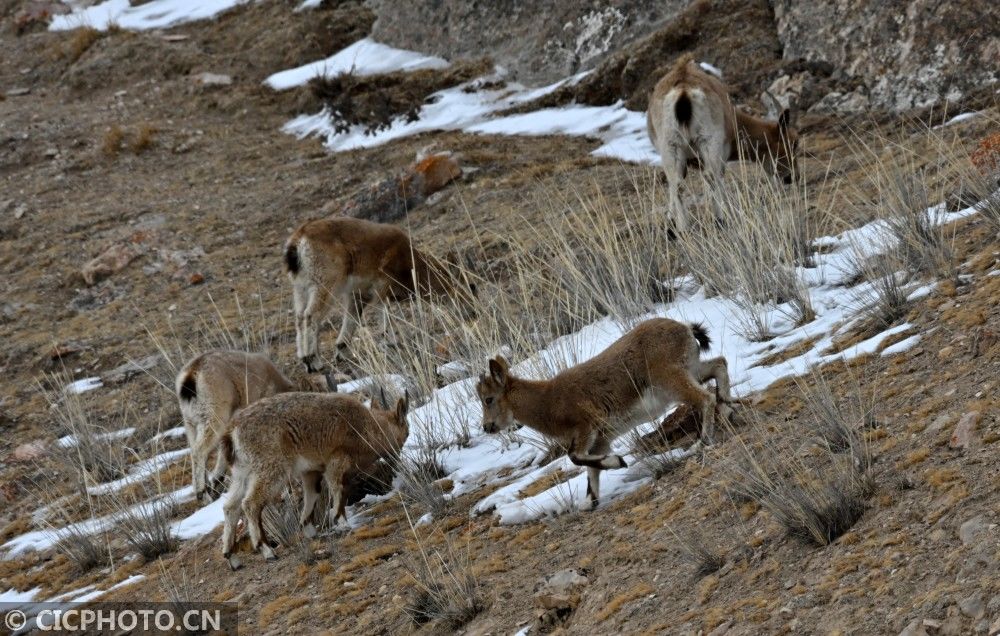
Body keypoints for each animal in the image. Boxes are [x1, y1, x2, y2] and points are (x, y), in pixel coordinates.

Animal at [178, 348, 298, 502]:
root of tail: (192, 373)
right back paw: (202, 493)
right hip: (215, 418)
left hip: (191, 423)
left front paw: (217, 479)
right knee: (199, 451)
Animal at [219, 392, 406, 568]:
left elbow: (312, 494)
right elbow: (338, 488)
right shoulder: (336, 459)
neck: (367, 426)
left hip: (241, 472)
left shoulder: (311, 470)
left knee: (230, 507)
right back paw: (266, 550)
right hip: (271, 467)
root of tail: (232, 431)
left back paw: (232, 557)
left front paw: (309, 530)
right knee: (251, 503)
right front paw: (342, 522)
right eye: (405, 432)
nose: (397, 458)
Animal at [286, 216, 476, 372]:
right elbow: (385, 318)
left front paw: (342, 352)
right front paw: (392, 343)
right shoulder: (382, 286)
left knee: (299, 317)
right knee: (311, 317)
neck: (410, 263)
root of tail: (297, 243)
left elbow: (352, 318)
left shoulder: (358, 294)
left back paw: (307, 361)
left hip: (300, 288)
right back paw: (313, 361)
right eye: (471, 286)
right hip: (325, 283)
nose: (473, 313)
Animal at [472, 320, 732, 510]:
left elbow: (574, 457)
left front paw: (619, 462)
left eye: (488, 399)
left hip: (670, 379)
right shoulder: (600, 439)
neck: (549, 401)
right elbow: (590, 470)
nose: (488, 426)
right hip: (691, 369)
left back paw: (702, 441)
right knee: (719, 364)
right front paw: (589, 502)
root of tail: (684, 328)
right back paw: (727, 408)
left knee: (705, 398)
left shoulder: (586, 426)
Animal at [644, 54, 800, 232]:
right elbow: (718, 179)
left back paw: (683, 229)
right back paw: (719, 219)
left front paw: (670, 223)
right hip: (709, 140)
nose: (793, 176)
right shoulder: (722, 153)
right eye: (793, 143)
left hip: (671, 144)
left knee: (676, 182)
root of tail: (683, 91)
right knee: (710, 176)